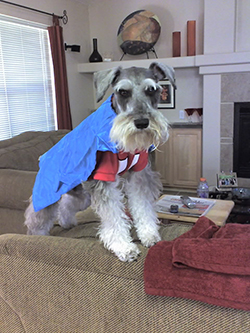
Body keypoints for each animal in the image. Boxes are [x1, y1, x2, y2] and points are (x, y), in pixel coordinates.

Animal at [23, 61, 176, 260]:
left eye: (151, 89)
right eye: (123, 92)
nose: (142, 122)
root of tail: (43, 158)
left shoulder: (139, 174)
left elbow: (142, 206)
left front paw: (149, 234)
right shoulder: (104, 180)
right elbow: (113, 216)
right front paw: (124, 247)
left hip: (81, 195)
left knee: (67, 204)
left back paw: (67, 222)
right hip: (47, 194)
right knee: (37, 217)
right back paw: (36, 236)